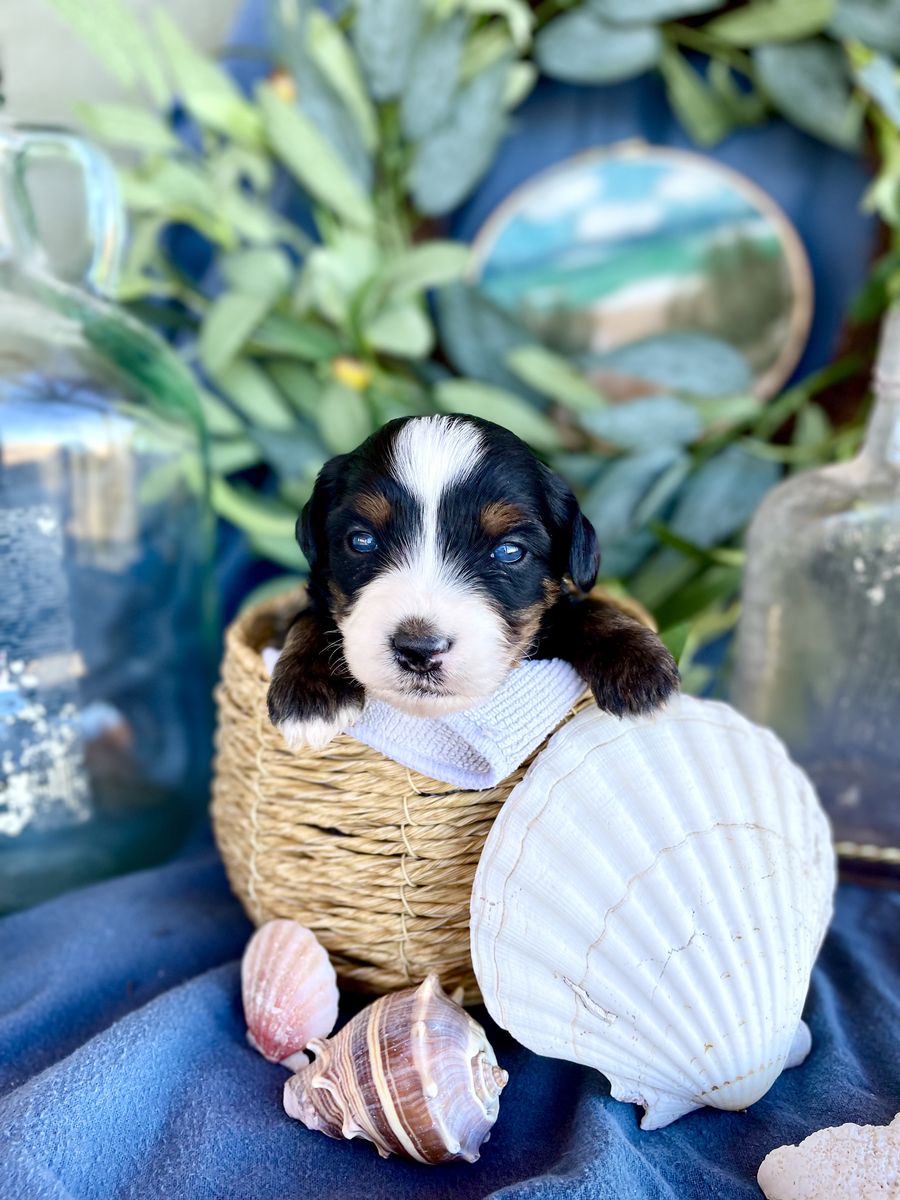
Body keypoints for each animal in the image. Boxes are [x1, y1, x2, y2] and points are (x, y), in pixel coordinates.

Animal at [267, 414, 679, 750]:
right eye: (362, 541)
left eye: (509, 551)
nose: (419, 650)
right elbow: (310, 619)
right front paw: (309, 694)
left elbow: (586, 609)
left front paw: (639, 664)